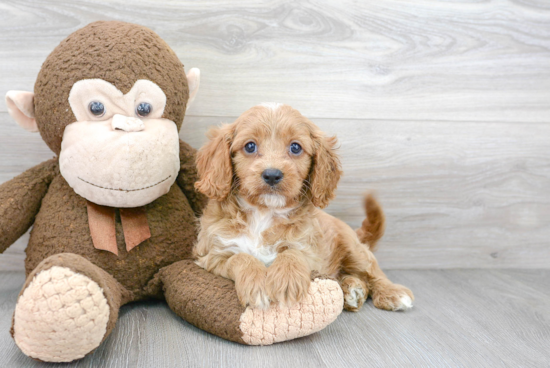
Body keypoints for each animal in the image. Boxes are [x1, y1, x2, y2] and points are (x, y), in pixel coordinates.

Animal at [194, 103, 414, 310]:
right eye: (249, 146)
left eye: (295, 148)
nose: (272, 174)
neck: (264, 212)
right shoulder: (211, 255)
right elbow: (240, 257)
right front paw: (257, 284)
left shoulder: (311, 250)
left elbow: (292, 253)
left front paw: (287, 281)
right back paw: (353, 289)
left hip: (353, 248)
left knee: (372, 271)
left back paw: (391, 293)